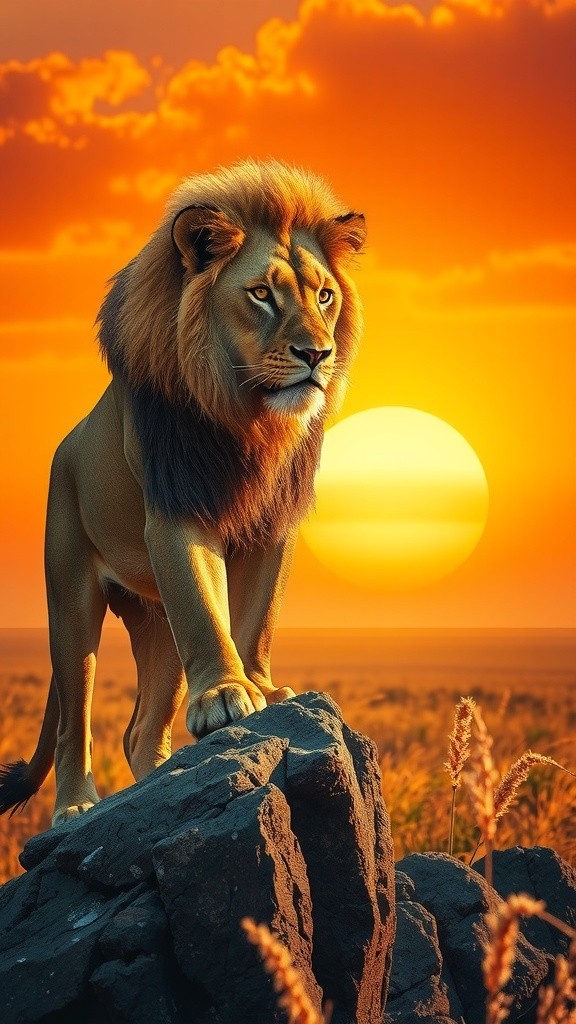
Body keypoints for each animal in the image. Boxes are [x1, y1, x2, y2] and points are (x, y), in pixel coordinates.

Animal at [0, 159, 365, 827]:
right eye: (262, 293)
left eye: (325, 295)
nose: (318, 354)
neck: (248, 418)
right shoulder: (177, 513)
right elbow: (205, 610)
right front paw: (225, 694)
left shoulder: (273, 524)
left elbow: (255, 617)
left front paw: (261, 685)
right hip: (70, 598)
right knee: (74, 720)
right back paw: (76, 807)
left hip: (154, 624)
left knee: (140, 731)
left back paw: (162, 784)